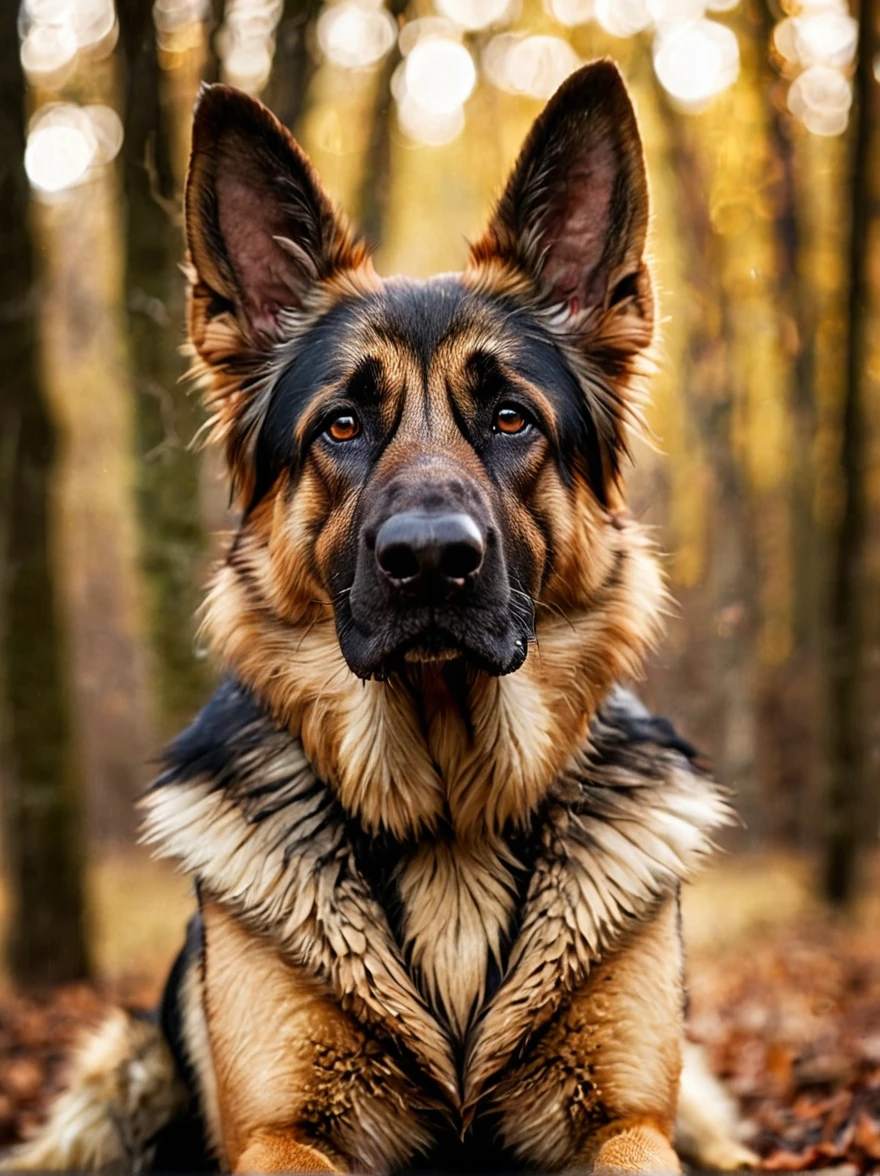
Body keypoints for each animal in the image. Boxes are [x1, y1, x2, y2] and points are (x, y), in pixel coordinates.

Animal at [5, 62, 757, 1176]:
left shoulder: (626, 1123)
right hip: (117, 1071)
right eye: (342, 426)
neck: (446, 825)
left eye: (511, 420)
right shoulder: (283, 1133)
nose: (431, 561)